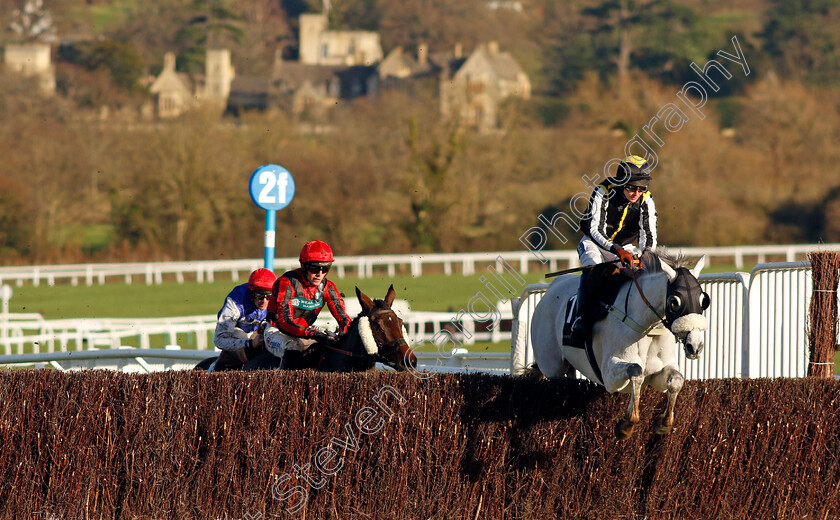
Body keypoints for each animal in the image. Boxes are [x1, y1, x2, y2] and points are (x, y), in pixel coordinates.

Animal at [532, 251, 708, 438]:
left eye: (704, 300)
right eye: (674, 302)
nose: (695, 346)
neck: (646, 327)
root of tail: (553, 286)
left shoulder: (659, 372)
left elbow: (676, 379)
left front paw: (664, 424)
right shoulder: (609, 376)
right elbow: (636, 371)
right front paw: (627, 424)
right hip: (552, 366)